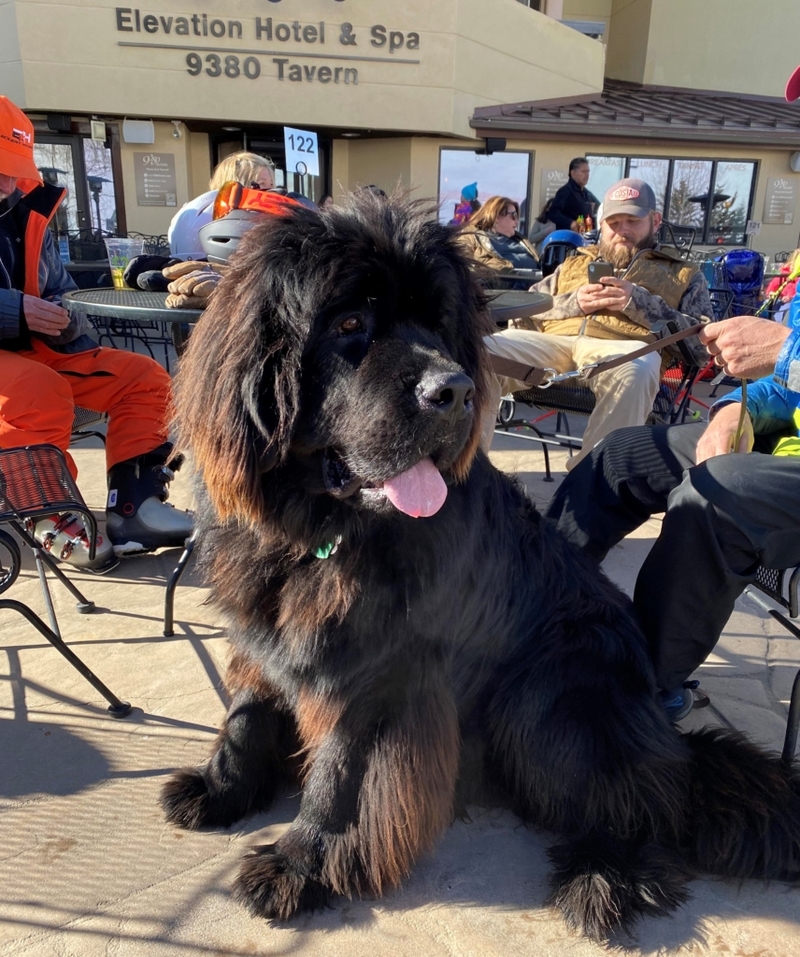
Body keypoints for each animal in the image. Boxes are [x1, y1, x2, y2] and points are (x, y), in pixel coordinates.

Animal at [162, 196, 800, 940]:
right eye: (348, 325)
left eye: (439, 327)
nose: (456, 390)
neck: (320, 530)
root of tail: (663, 734)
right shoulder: (262, 633)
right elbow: (246, 713)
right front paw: (220, 789)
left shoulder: (380, 675)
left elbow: (340, 777)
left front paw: (300, 863)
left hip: (554, 697)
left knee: (642, 804)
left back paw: (602, 878)